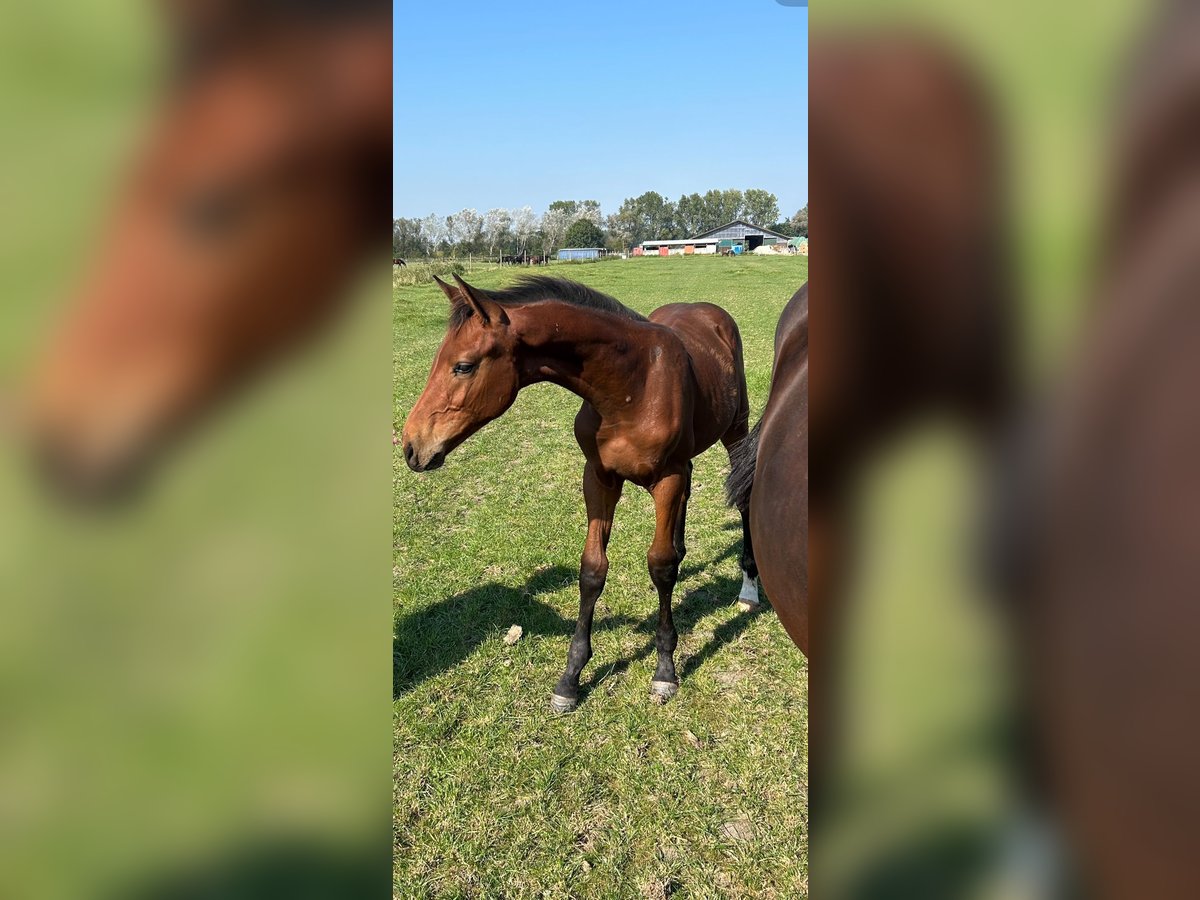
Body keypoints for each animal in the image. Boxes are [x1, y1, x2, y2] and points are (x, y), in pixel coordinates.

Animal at [403, 274, 758, 710]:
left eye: (464, 366)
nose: (412, 446)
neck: (632, 385)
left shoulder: (667, 479)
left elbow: (660, 566)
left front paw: (665, 671)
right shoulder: (599, 478)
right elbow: (592, 569)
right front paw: (571, 677)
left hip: (736, 428)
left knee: (743, 496)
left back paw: (749, 587)